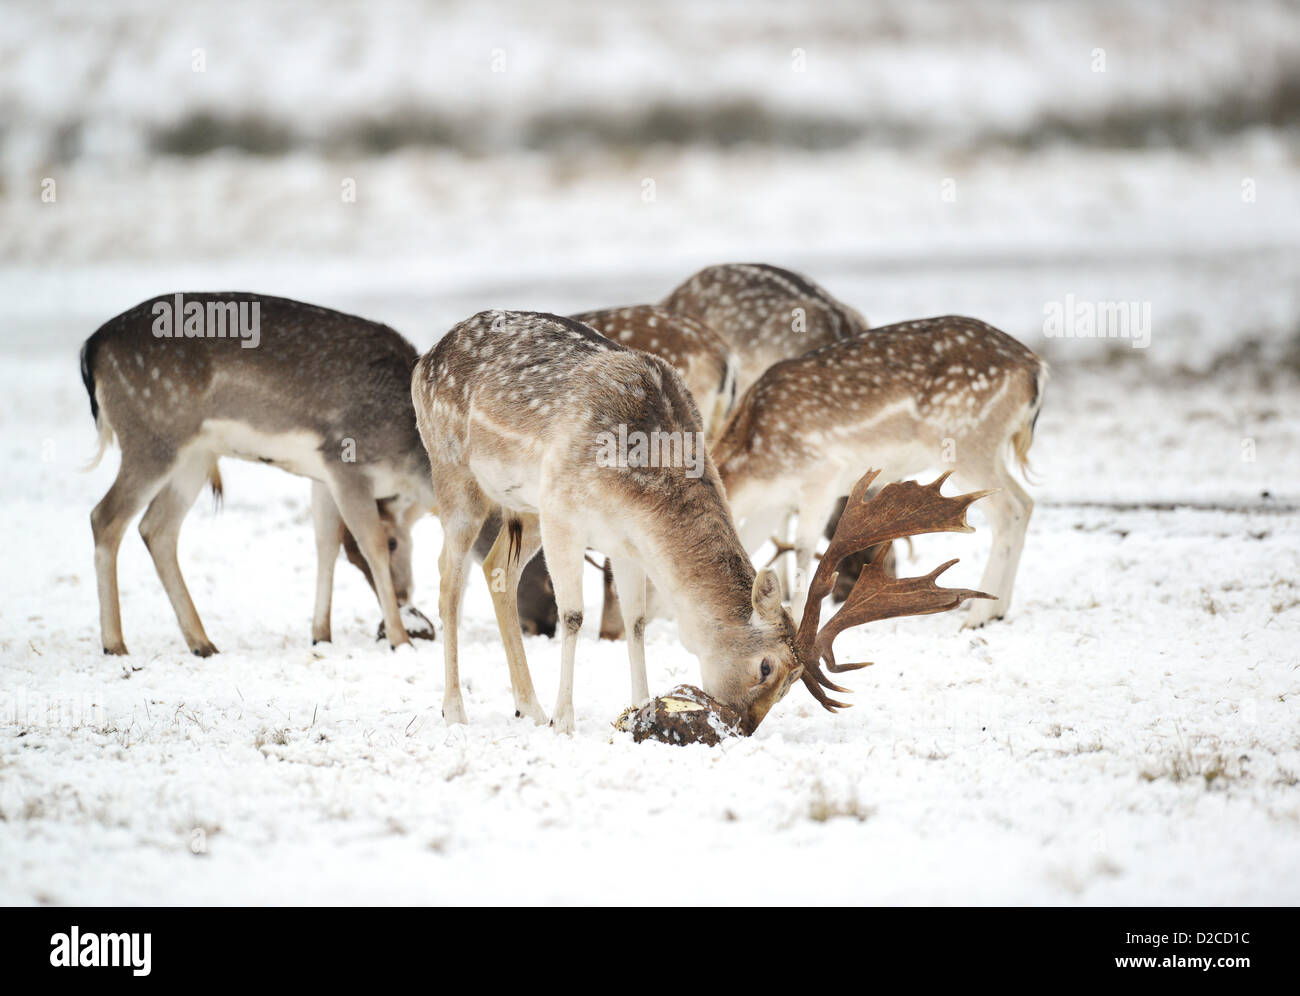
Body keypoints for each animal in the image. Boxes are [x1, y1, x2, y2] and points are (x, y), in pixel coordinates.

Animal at [81, 292, 436, 660]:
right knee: (105, 517)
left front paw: (321, 635)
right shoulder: (347, 463)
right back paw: (115, 644)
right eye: (394, 542)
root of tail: (92, 347)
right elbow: (370, 543)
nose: (402, 595)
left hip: (195, 456)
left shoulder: (325, 474)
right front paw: (400, 640)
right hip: (151, 439)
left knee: (157, 528)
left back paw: (202, 642)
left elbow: (326, 541)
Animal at [410, 308, 987, 738]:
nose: (743, 726)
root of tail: (424, 359)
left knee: (496, 570)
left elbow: (637, 623)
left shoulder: (622, 542)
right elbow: (574, 616)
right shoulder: (562, 513)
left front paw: (637, 706)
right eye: (766, 667)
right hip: (457, 475)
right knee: (447, 578)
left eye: (789, 684)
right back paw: (456, 709)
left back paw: (525, 706)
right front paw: (565, 722)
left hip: (520, 509)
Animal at [712, 315, 1045, 629]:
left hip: (966, 442)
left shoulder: (820, 476)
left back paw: (977, 617)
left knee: (1008, 511)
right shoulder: (774, 505)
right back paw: (998, 609)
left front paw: (794, 619)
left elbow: (803, 549)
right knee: (1026, 502)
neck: (756, 467)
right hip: (989, 448)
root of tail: (1035, 368)